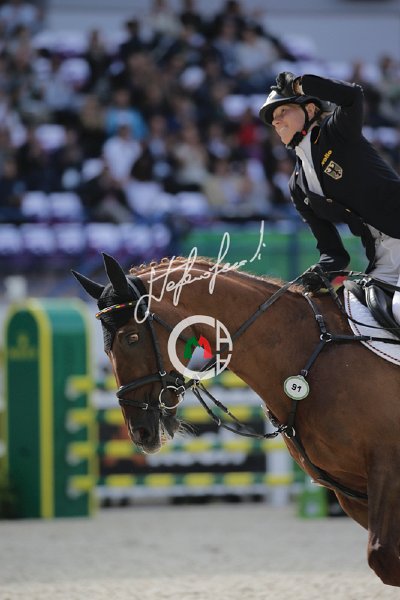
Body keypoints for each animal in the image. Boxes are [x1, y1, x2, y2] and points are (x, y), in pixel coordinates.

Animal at [73, 253, 400, 587]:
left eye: (132, 338)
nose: (139, 432)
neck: (307, 354)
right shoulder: (349, 490)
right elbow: (384, 558)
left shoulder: (386, 469)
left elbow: (384, 558)